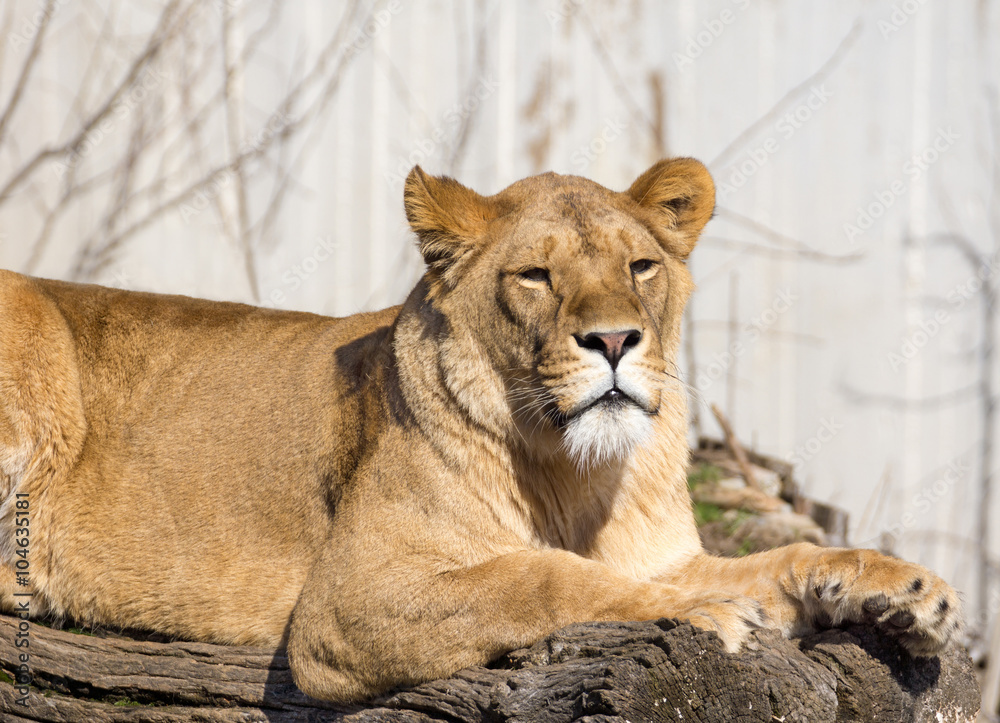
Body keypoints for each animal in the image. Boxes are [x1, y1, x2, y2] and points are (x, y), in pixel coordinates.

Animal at [0, 158, 962, 703]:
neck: (575, 471)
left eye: (641, 265)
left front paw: (902, 590)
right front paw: (706, 615)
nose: (615, 340)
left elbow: (785, 556)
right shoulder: (342, 607)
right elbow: (538, 574)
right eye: (535, 276)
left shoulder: (665, 551)